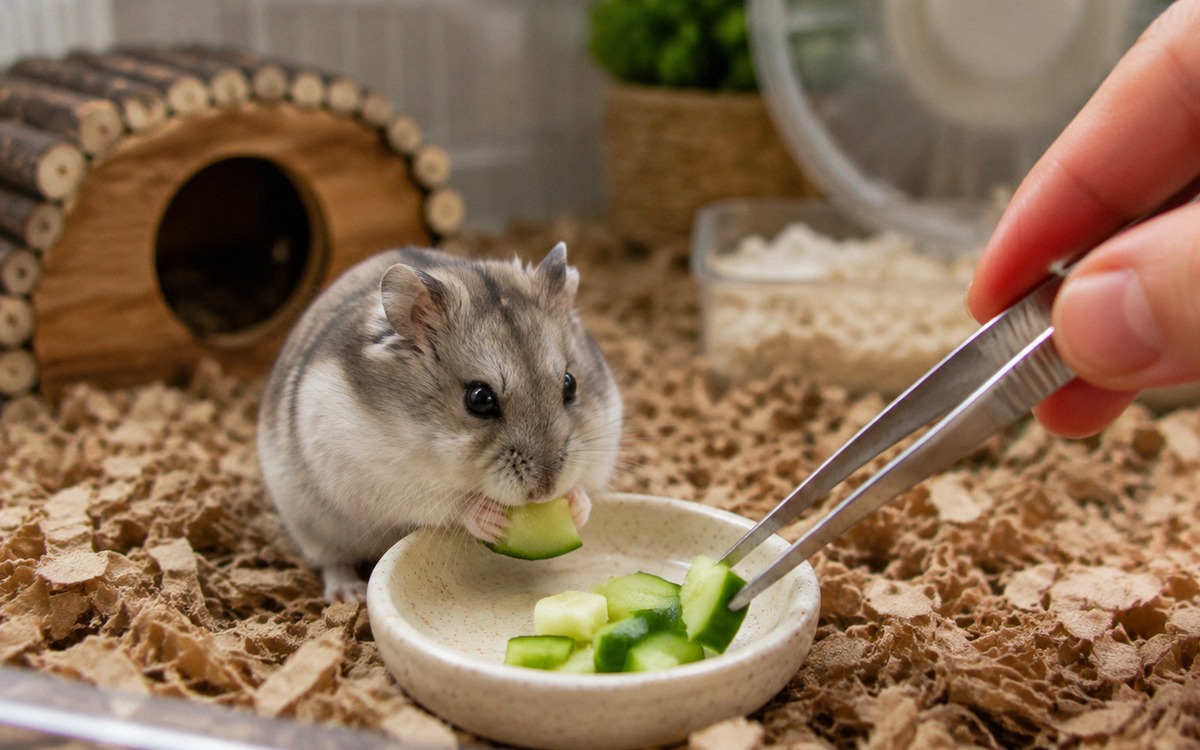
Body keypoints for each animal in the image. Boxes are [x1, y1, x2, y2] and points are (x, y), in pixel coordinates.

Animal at [257, 243, 623, 601]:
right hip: (310, 523)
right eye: (479, 399)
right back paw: (349, 594)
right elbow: (450, 503)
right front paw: (489, 517)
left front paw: (577, 504)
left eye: (570, 384)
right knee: (331, 561)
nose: (545, 490)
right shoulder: (381, 478)